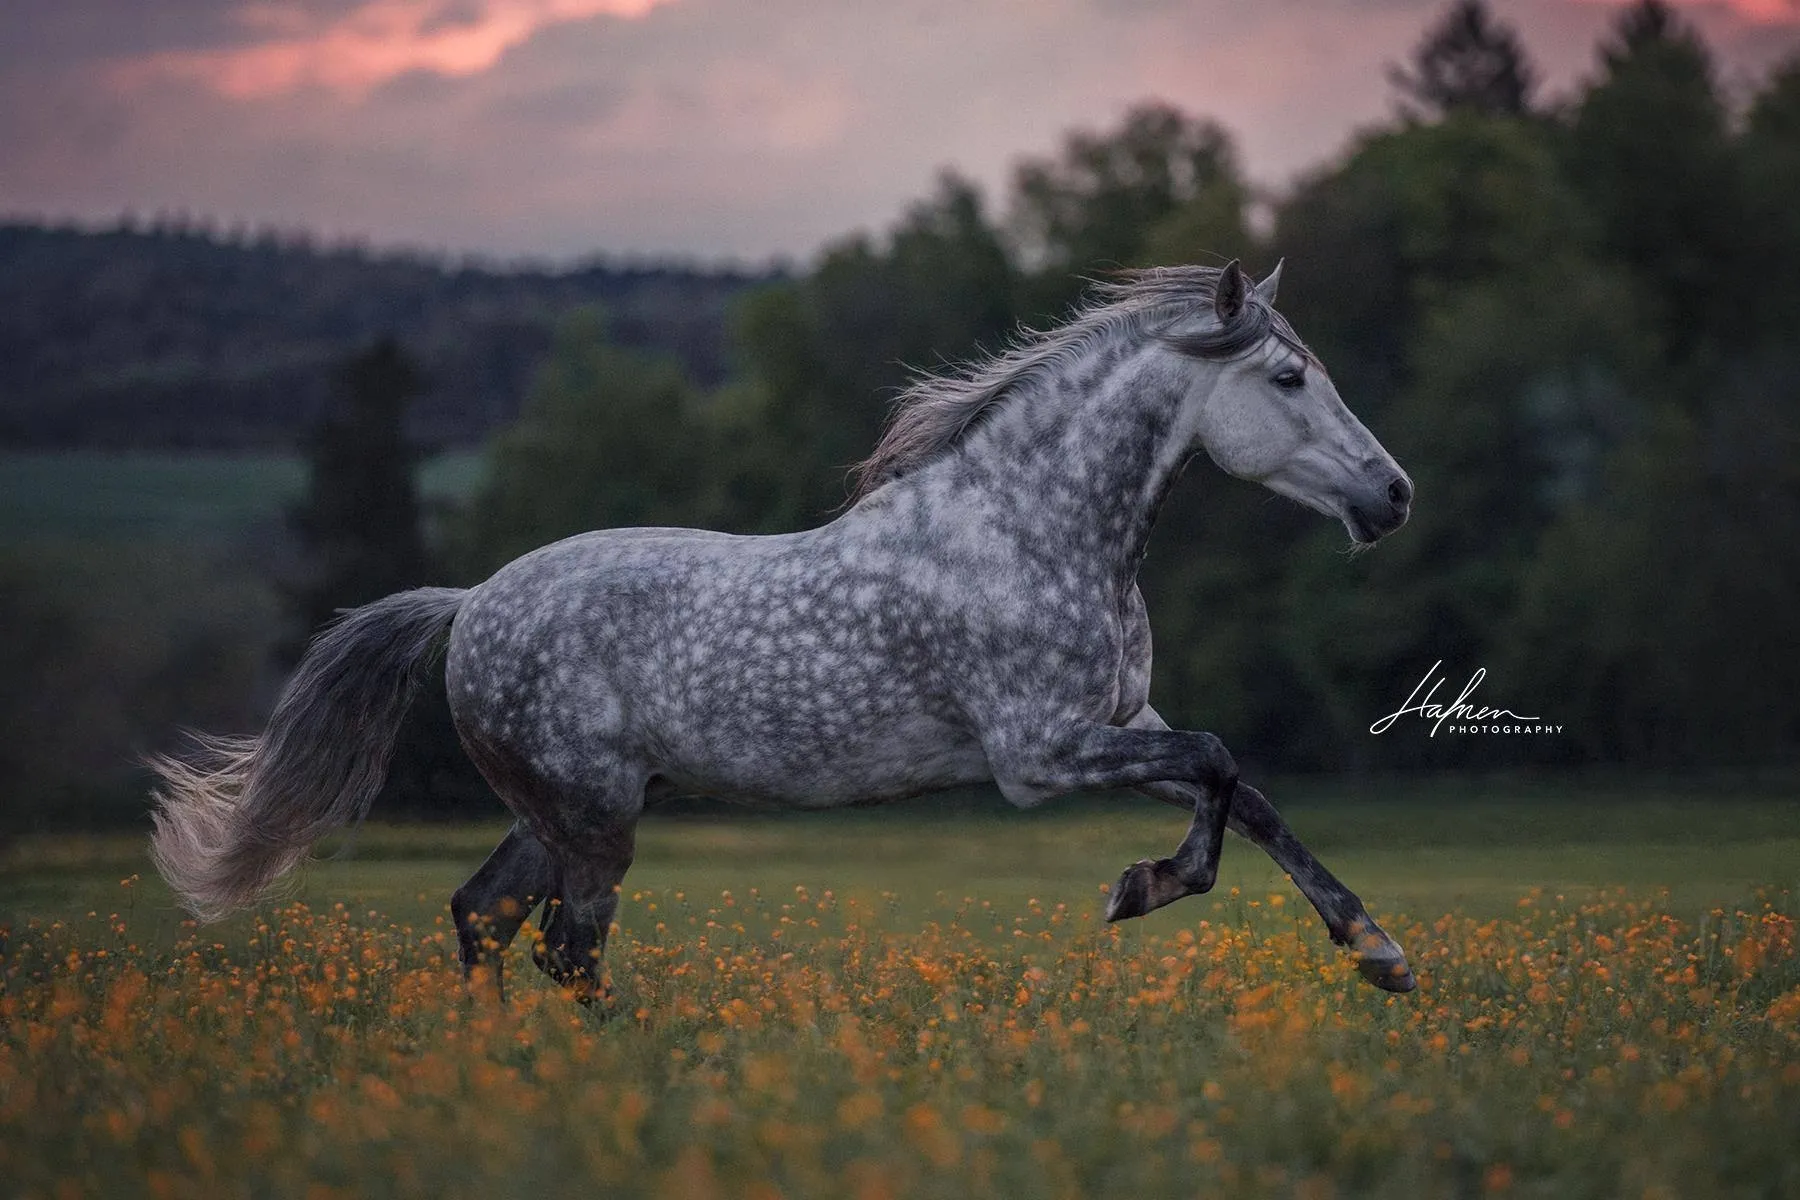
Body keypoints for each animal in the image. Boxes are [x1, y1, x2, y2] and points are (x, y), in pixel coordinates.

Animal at [151, 264, 1418, 1007]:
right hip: (592, 818)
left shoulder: (1117, 725)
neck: (1032, 526)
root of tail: (465, 605)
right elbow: (1218, 765)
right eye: (1289, 377)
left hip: (562, 811)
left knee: (486, 919)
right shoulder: (1040, 755)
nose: (1393, 496)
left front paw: (1380, 955)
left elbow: (1247, 792)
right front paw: (1139, 890)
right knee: (565, 943)